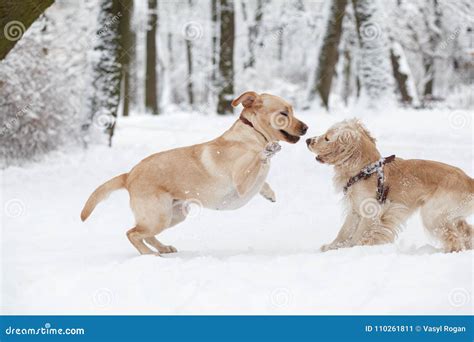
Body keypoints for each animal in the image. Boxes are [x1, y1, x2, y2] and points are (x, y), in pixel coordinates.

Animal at [80, 92, 308, 255]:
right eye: (284, 113)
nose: (306, 128)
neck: (253, 133)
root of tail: (129, 174)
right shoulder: (242, 182)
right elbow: (260, 160)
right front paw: (268, 151)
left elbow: (263, 180)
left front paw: (269, 193)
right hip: (159, 216)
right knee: (132, 233)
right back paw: (149, 254)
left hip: (174, 215)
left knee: (145, 234)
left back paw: (163, 248)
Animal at [306, 119, 472, 252]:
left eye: (327, 138)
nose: (308, 140)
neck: (365, 169)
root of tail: (469, 180)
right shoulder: (354, 210)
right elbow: (344, 231)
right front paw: (332, 247)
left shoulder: (372, 211)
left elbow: (359, 234)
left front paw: (353, 248)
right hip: (451, 216)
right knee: (468, 231)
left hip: (432, 215)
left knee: (454, 238)